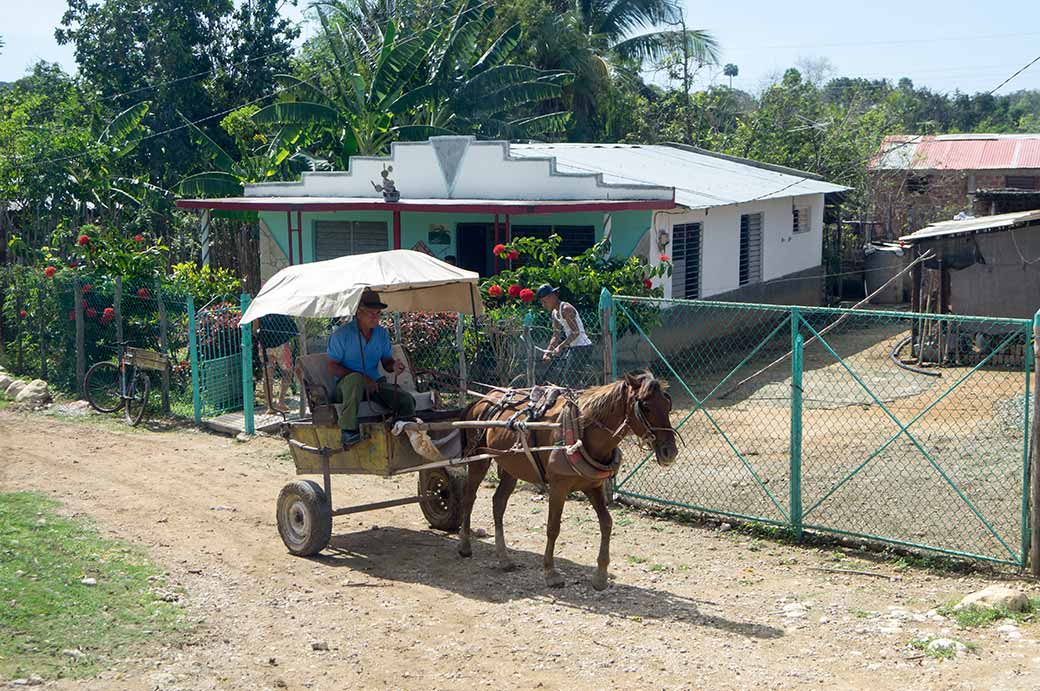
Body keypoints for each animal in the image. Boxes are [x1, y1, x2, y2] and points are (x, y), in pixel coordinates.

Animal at [459, 370, 678, 591]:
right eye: (646, 406)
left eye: (667, 405)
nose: (670, 452)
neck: (582, 431)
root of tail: (483, 400)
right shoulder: (558, 487)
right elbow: (553, 527)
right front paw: (550, 572)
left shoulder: (593, 486)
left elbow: (606, 523)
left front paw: (600, 576)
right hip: (478, 460)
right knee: (469, 497)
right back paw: (465, 545)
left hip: (512, 466)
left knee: (498, 502)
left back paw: (503, 558)